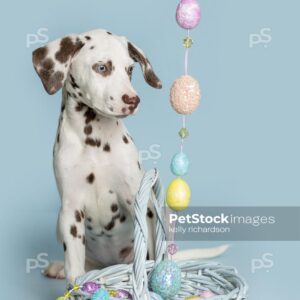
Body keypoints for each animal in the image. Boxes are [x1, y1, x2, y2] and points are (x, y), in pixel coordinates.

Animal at [31, 29, 227, 284]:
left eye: (130, 70)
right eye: (101, 67)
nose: (133, 100)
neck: (94, 141)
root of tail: (112, 263)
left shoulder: (141, 204)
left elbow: (152, 254)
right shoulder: (71, 211)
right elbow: (75, 266)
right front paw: (74, 283)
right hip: (60, 223)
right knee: (88, 264)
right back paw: (59, 268)